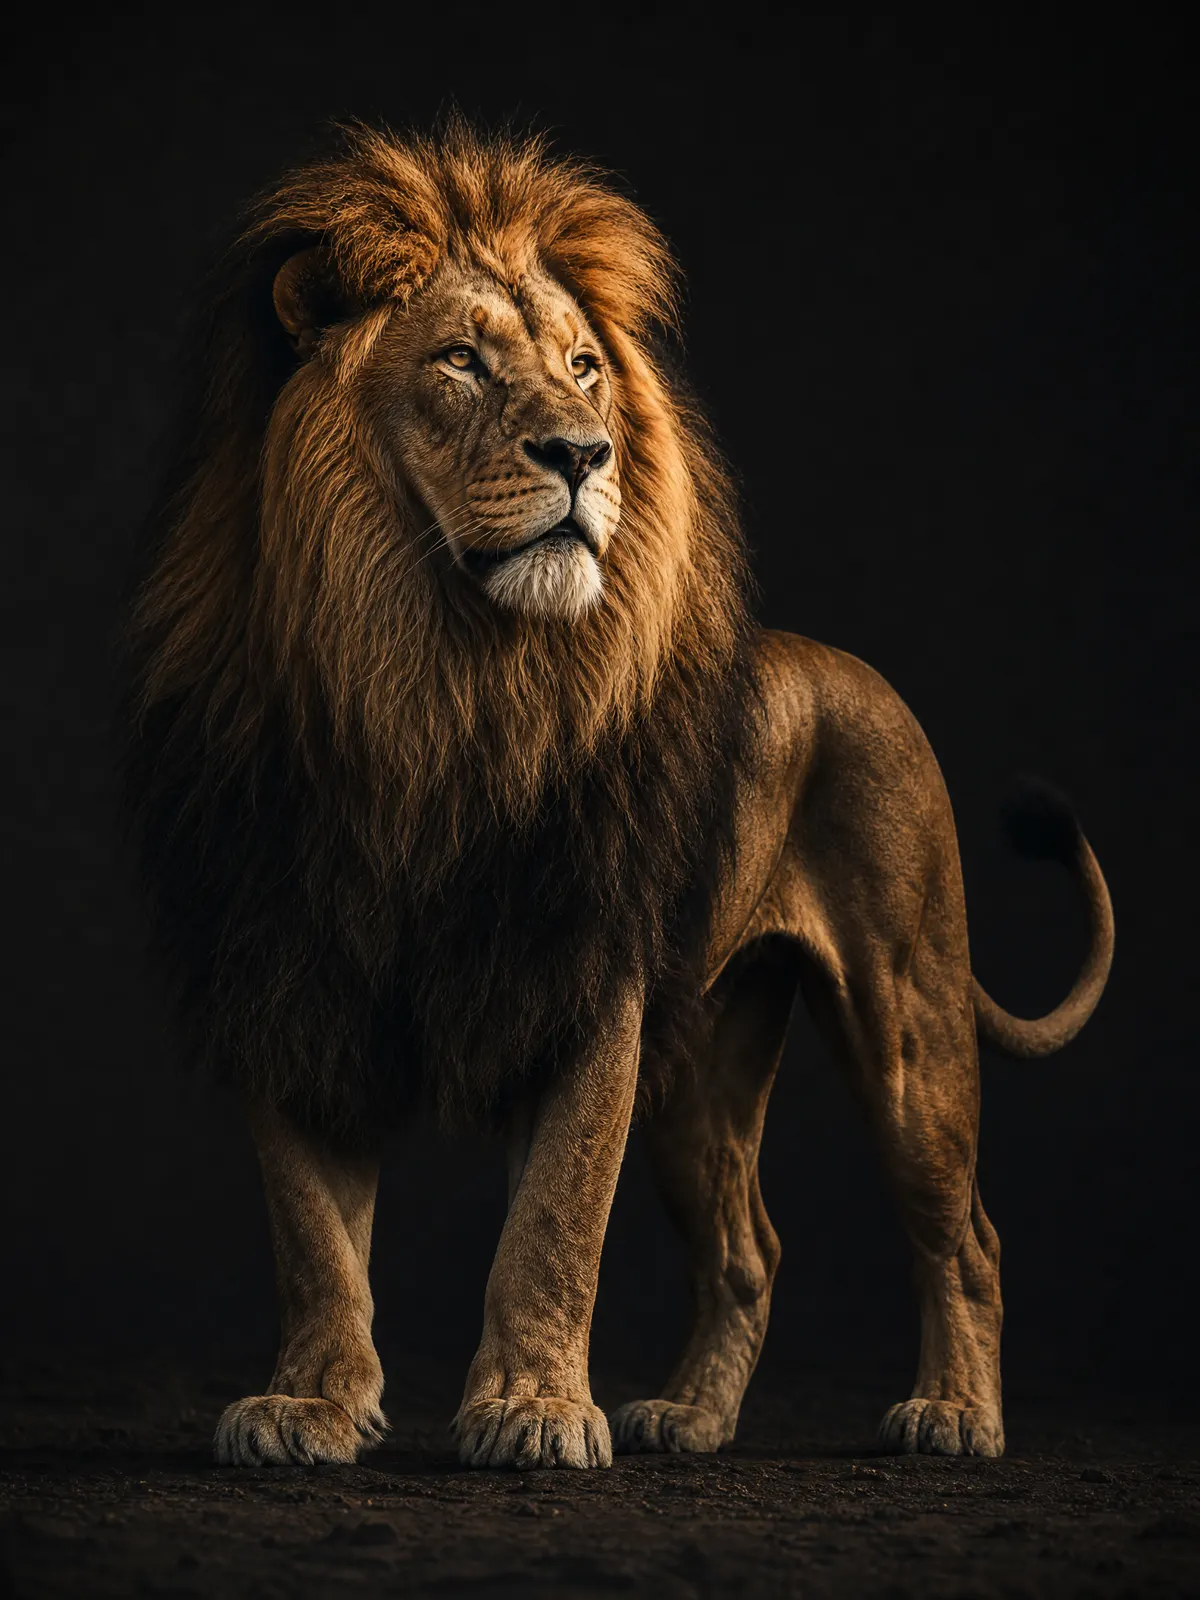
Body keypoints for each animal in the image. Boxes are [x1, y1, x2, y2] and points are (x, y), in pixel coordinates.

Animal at [124, 120, 1114, 1471]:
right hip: (703, 1061)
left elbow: (554, 1220)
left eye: (586, 369)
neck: (436, 682)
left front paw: (533, 1410)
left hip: (908, 1019)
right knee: (751, 1248)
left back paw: (954, 1414)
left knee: (964, 1232)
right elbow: (313, 1232)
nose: (583, 455)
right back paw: (690, 1417)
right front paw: (312, 1404)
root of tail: (849, 667)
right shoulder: (287, 970)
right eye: (461, 360)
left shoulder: (587, 974)